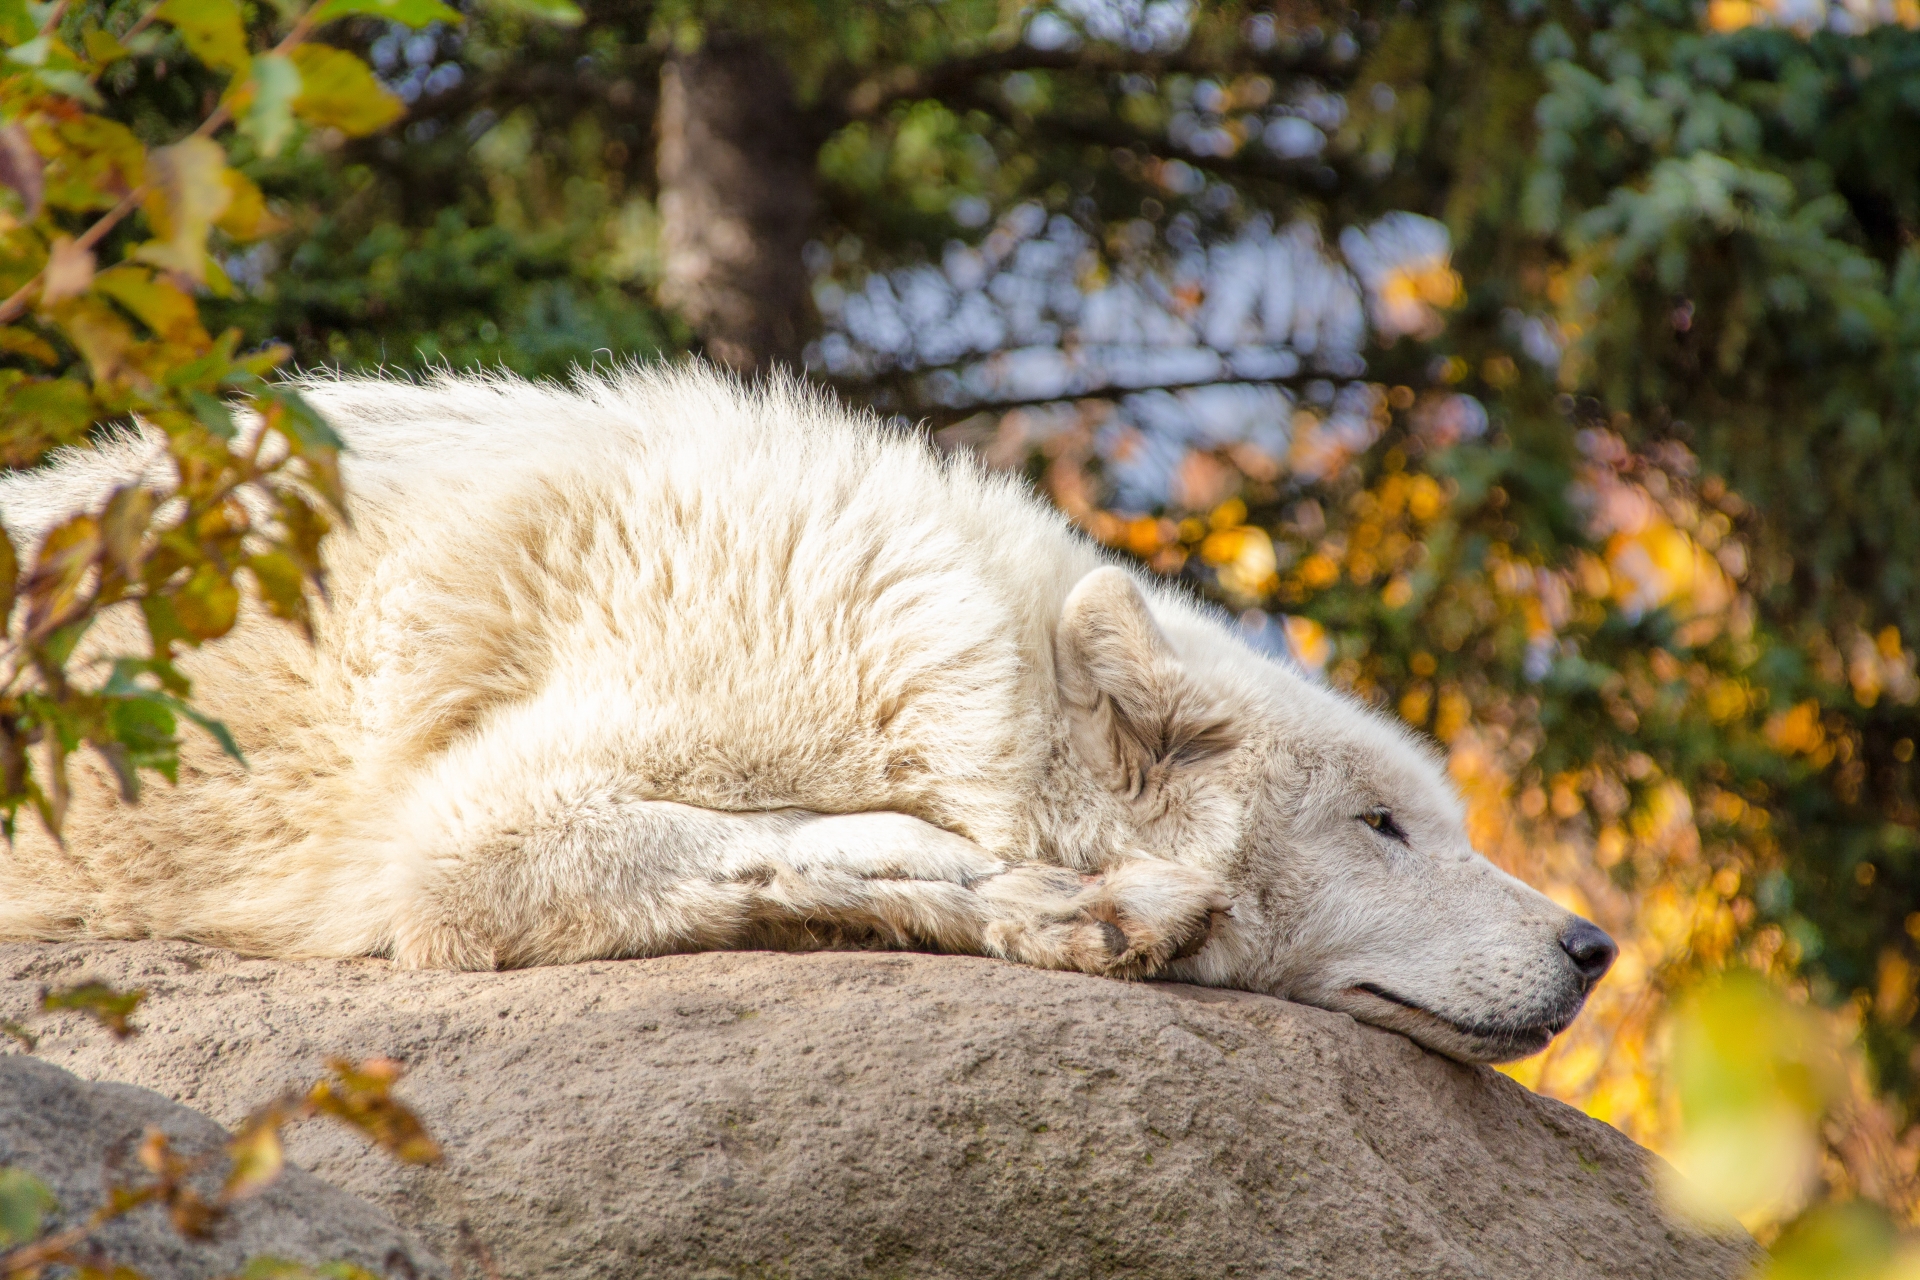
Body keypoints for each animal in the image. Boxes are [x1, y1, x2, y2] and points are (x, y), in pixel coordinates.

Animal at [0, 364, 1612, 1066]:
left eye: (1437, 819)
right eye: (1382, 824)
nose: (1594, 946)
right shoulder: (461, 840)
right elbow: (824, 835)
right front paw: (1077, 908)